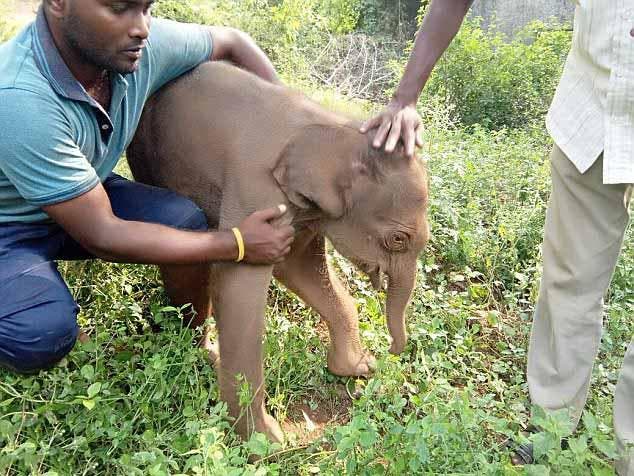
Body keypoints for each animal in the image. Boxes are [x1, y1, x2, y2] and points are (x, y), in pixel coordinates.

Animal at [126, 62, 428, 442]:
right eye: (397, 239)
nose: (390, 352)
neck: (336, 127)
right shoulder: (256, 187)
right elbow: (239, 286)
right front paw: (266, 440)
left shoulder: (308, 210)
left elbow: (298, 267)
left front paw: (356, 368)